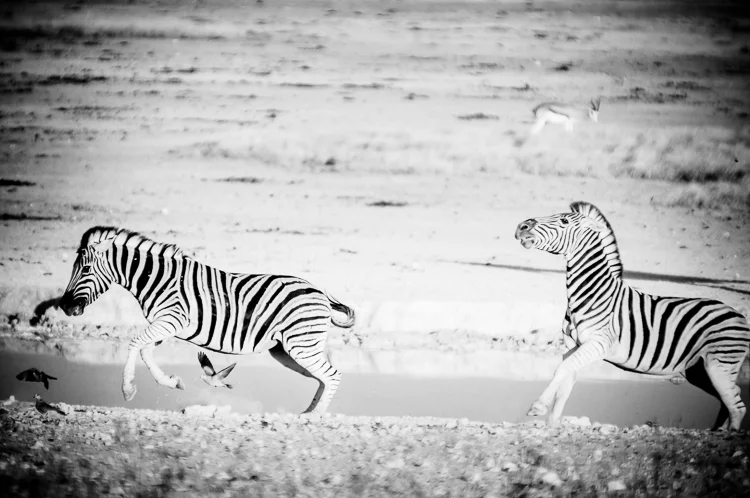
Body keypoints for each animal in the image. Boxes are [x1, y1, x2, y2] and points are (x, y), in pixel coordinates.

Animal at [58, 226, 356, 414]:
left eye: (85, 269)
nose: (64, 306)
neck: (156, 278)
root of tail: (321, 294)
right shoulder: (165, 326)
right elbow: (145, 350)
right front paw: (172, 382)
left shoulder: (172, 320)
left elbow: (134, 343)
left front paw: (128, 389)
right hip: (286, 350)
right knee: (322, 379)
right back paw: (307, 413)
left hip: (300, 345)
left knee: (332, 375)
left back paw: (314, 417)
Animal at [515, 202, 750, 430]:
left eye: (564, 221)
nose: (521, 226)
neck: (593, 293)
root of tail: (738, 315)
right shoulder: (573, 346)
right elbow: (564, 383)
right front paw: (552, 426)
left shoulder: (598, 344)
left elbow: (561, 369)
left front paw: (538, 406)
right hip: (699, 370)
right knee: (731, 398)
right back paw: (718, 432)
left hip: (720, 364)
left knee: (738, 406)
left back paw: (729, 436)